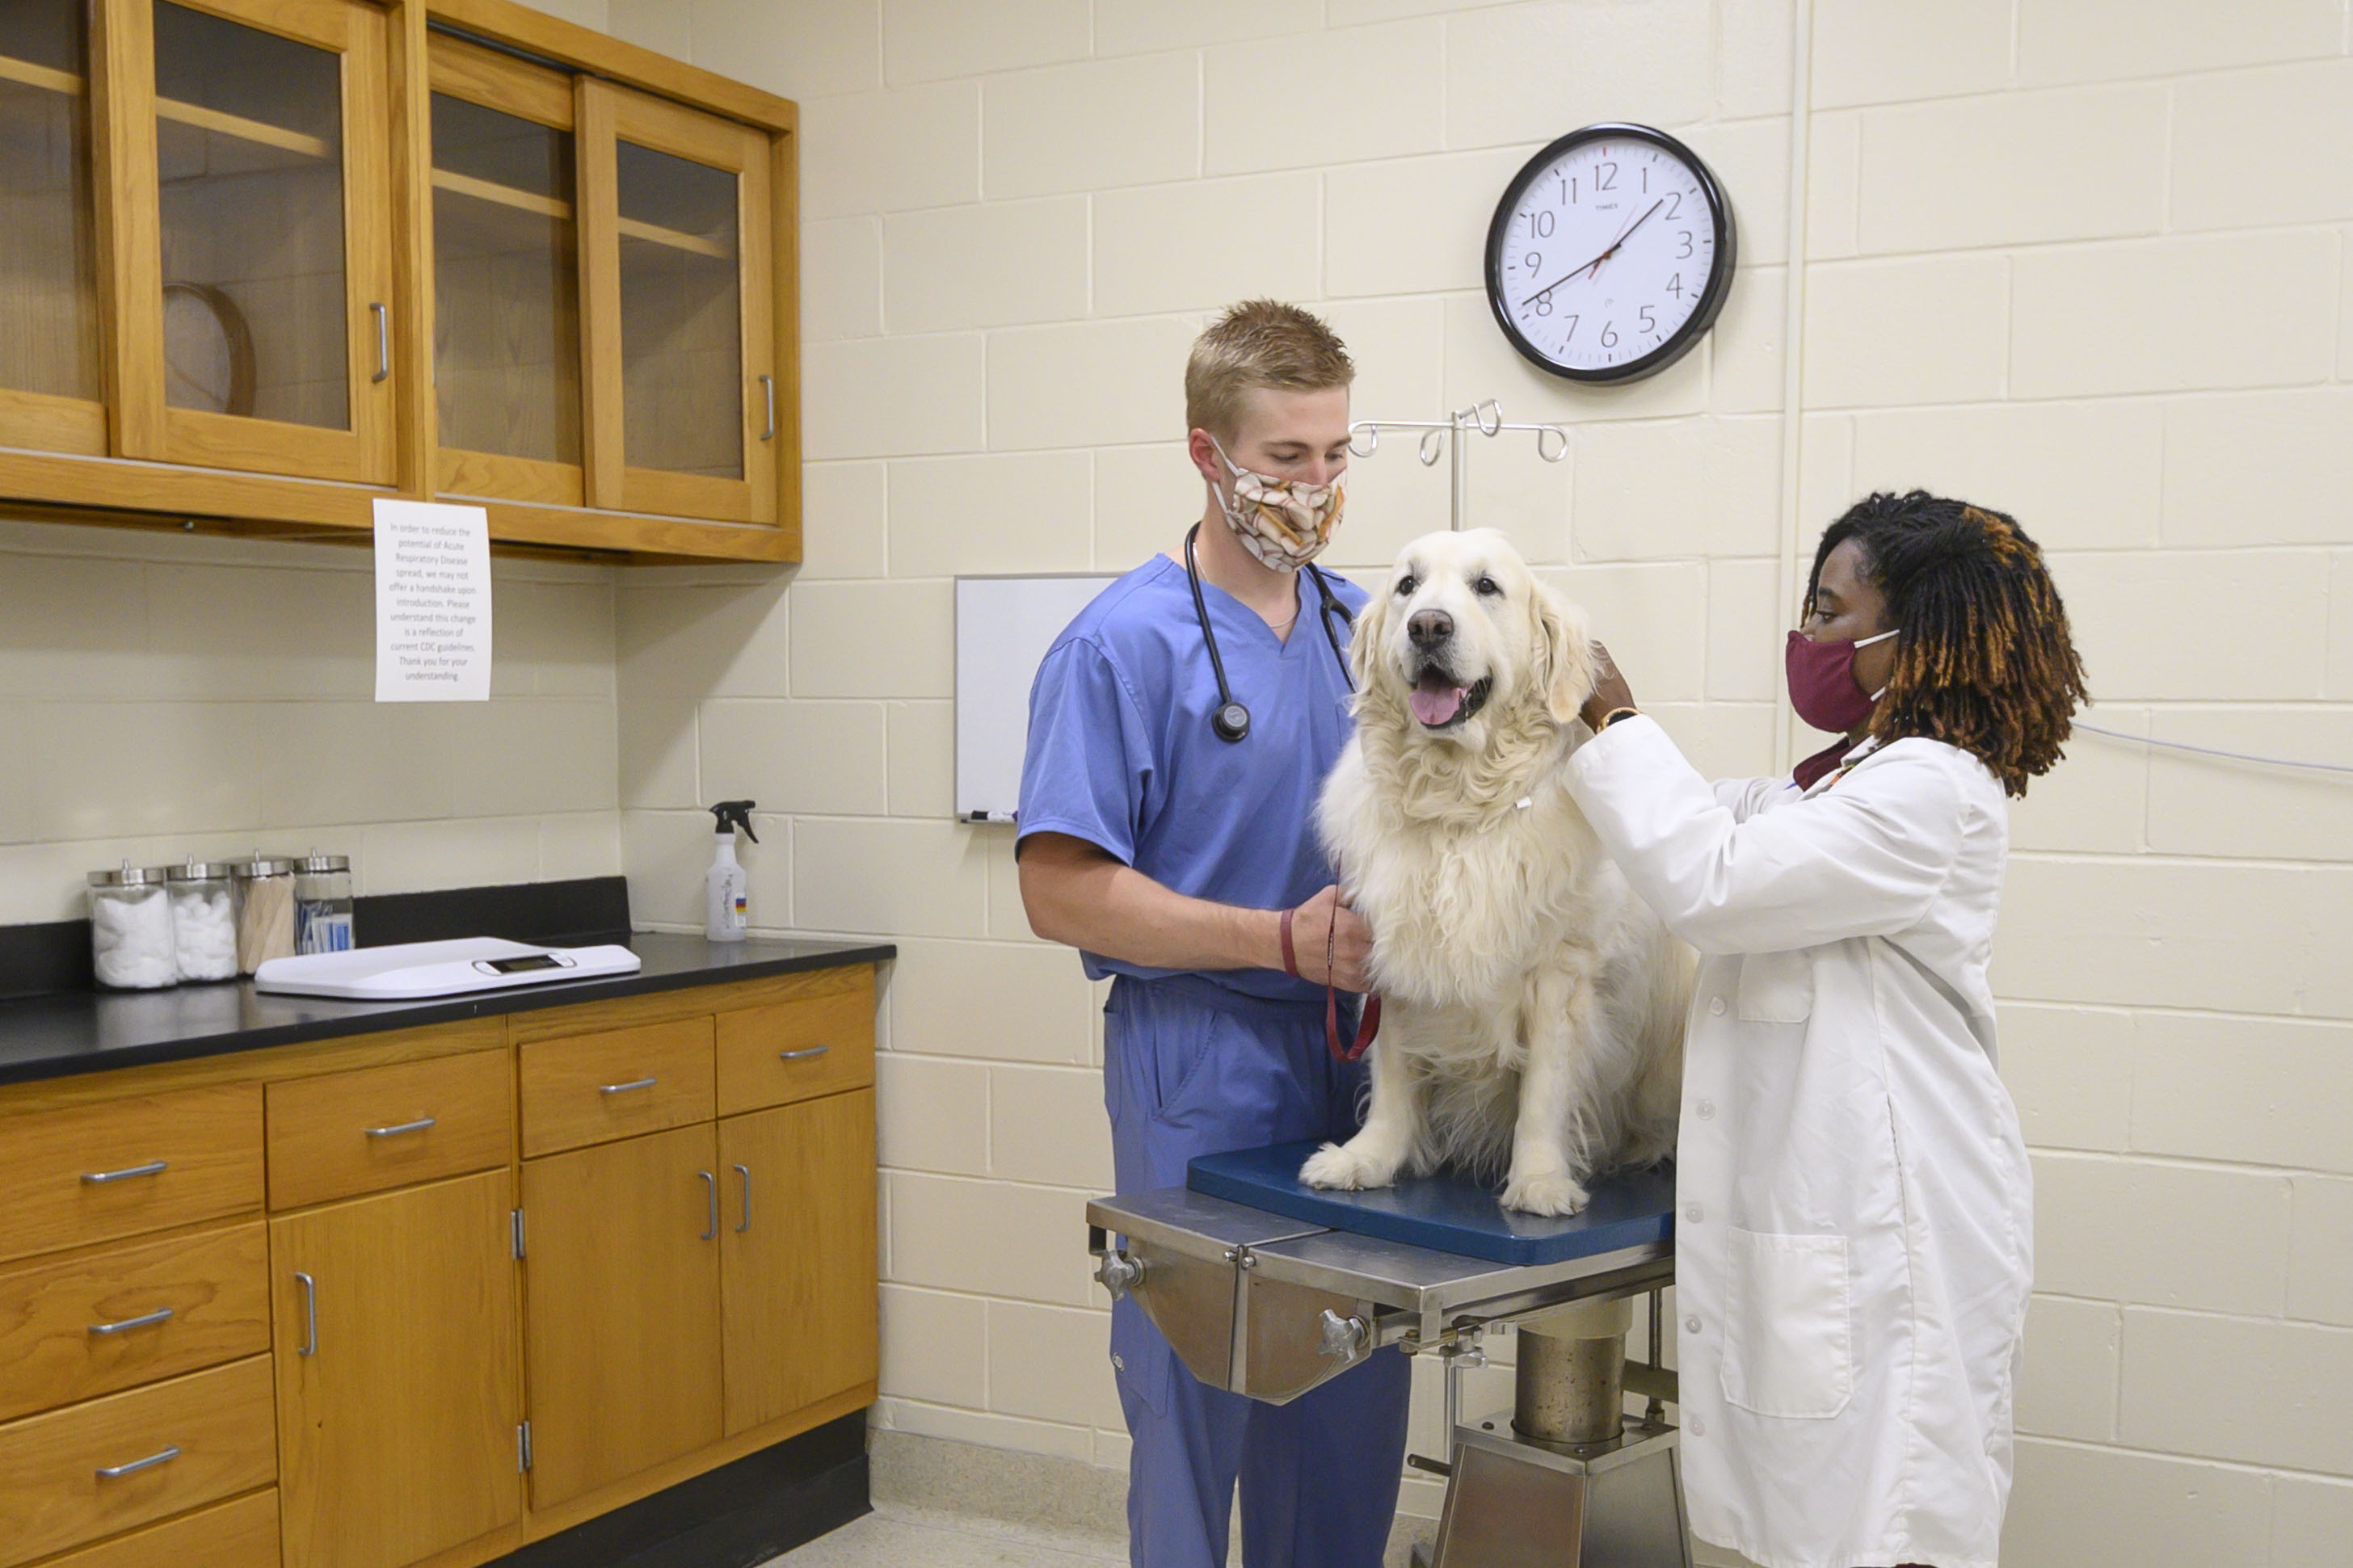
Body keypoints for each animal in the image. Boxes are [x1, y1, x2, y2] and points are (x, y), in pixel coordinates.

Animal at [1308, 526, 1694, 1213]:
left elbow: (1545, 1087)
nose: (1428, 625)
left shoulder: (1561, 973)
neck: (1457, 806)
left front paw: (1539, 1181)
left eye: (1486, 586)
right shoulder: (1393, 951)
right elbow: (1391, 1074)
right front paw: (1368, 1157)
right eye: (1407, 585)